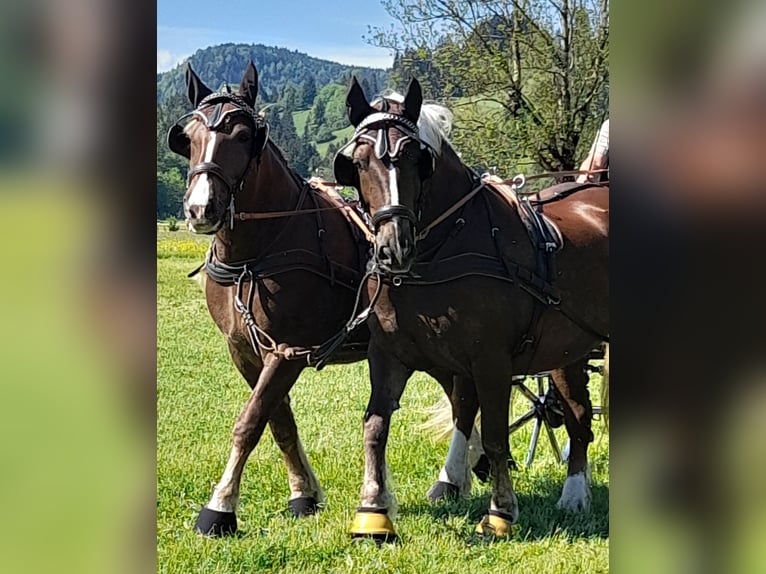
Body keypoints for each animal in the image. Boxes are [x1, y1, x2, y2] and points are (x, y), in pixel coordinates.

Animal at [165, 63, 378, 540]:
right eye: (187, 136)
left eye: (244, 135)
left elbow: (250, 421)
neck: (255, 255)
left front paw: (220, 506)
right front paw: (303, 494)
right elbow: (279, 420)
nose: (200, 209)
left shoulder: (287, 350)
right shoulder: (245, 350)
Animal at [336, 79, 612, 544]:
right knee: (577, 414)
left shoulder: (491, 361)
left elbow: (497, 436)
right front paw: (373, 512)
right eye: (357, 162)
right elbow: (376, 425)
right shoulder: (390, 354)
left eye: (417, 159)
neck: (440, 248)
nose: (394, 247)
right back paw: (576, 492)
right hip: (569, 349)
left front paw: (499, 513)